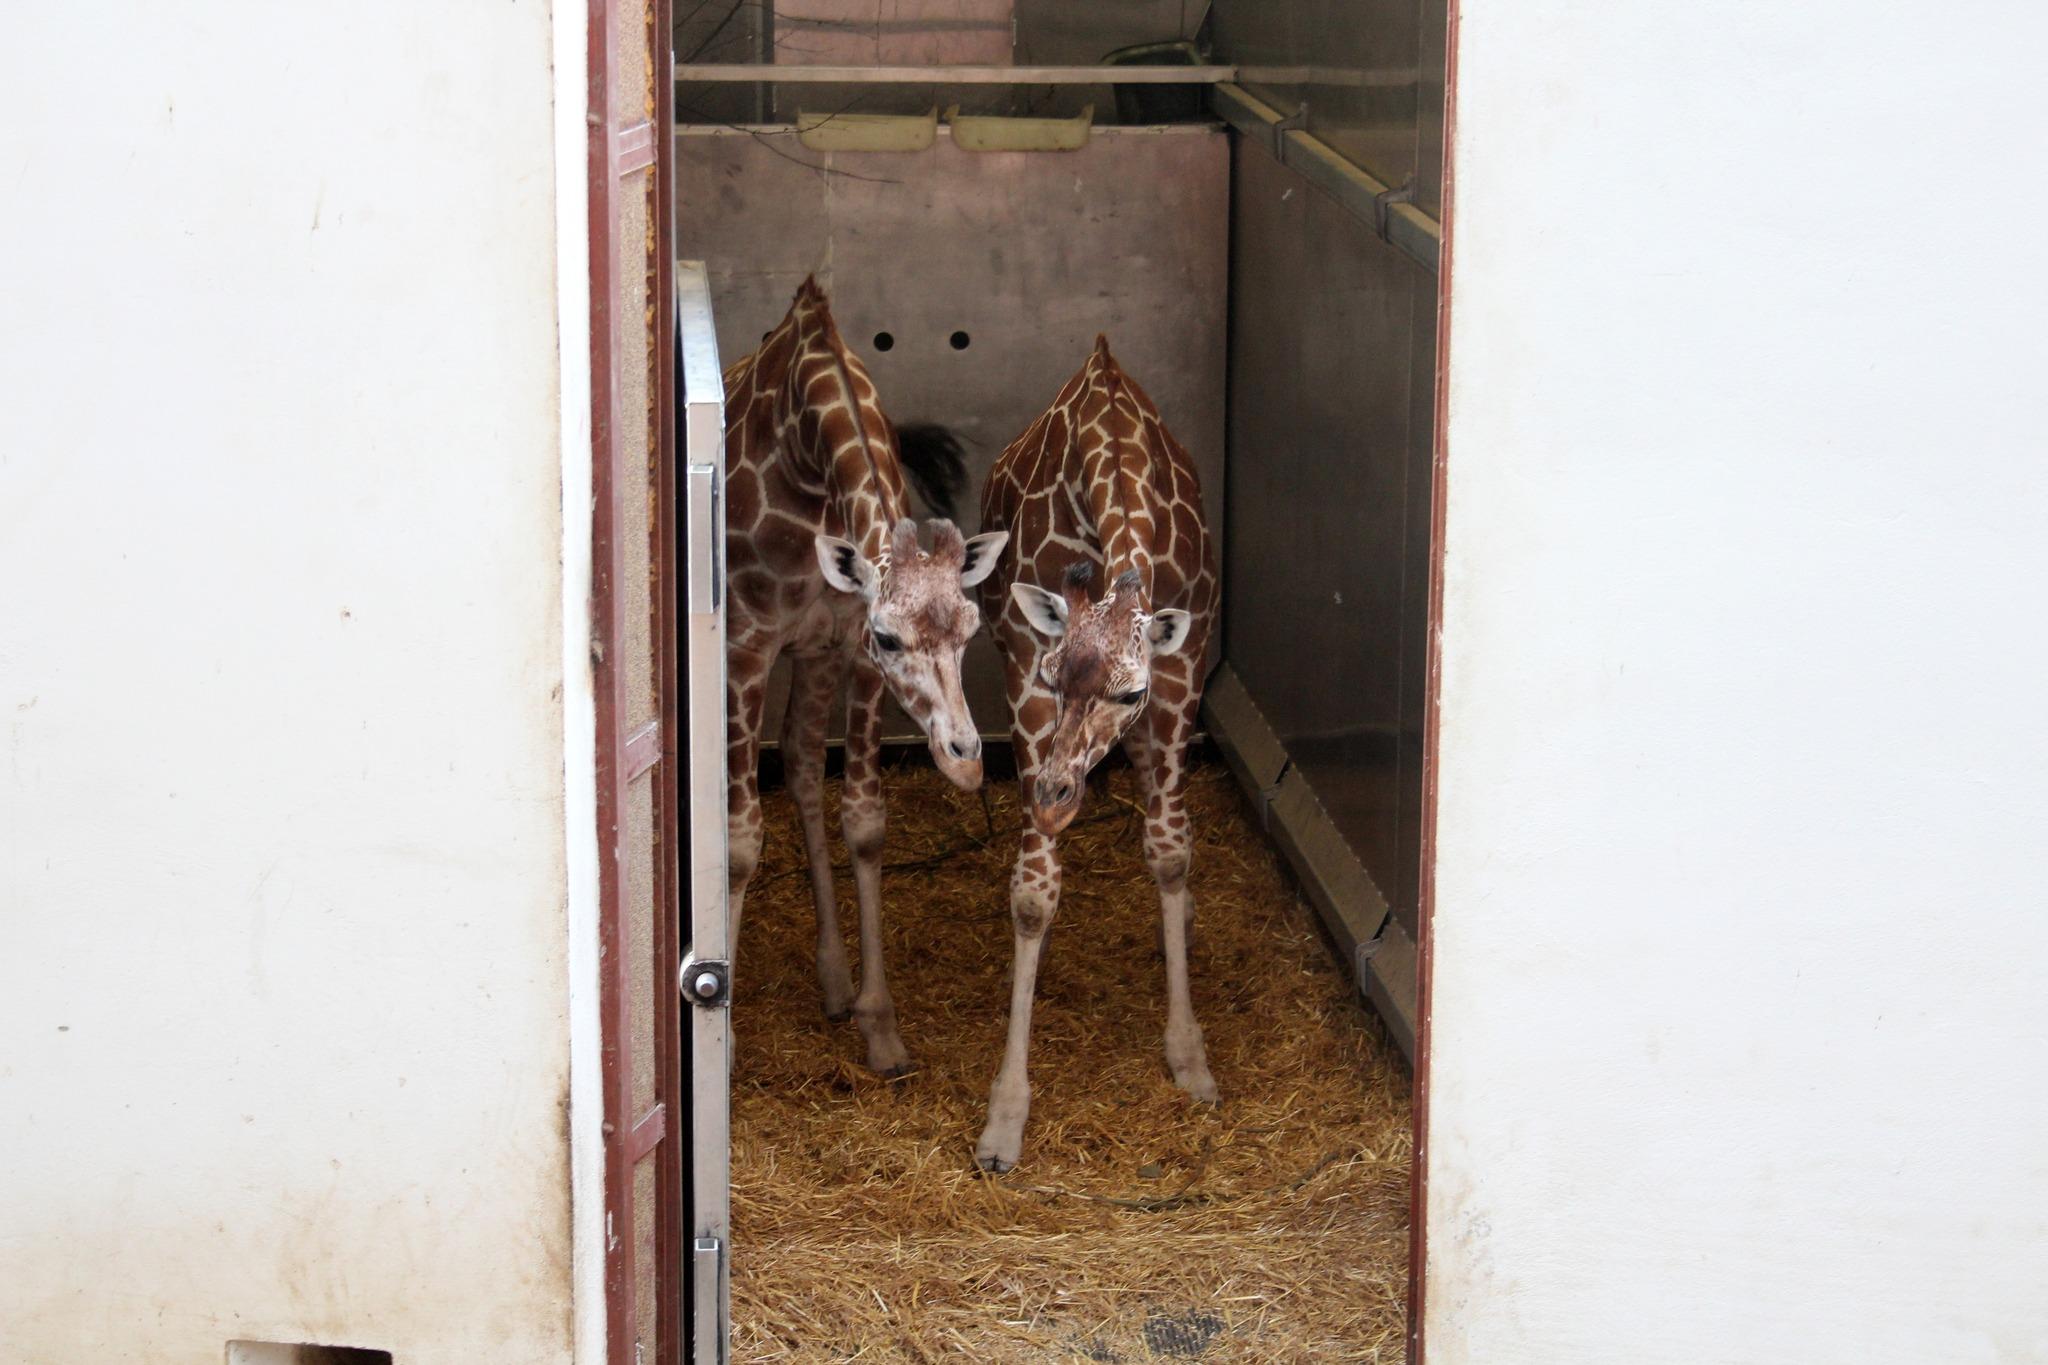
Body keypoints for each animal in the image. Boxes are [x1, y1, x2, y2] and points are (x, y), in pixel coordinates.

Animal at [720, 277, 1007, 1076]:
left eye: (971, 628)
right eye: (890, 635)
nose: (967, 763)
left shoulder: (845, 651)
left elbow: (866, 824)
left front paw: (880, 1023)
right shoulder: (747, 646)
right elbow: (739, 841)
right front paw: (721, 1046)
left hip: (812, 657)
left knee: (800, 760)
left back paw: (834, 979)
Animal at [971, 336, 1220, 1171]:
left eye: (1130, 690)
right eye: (1054, 674)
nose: (1055, 795)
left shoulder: (1180, 673)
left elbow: (1171, 850)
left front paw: (1190, 1054)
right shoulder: (1026, 676)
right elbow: (1032, 891)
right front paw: (1005, 1115)